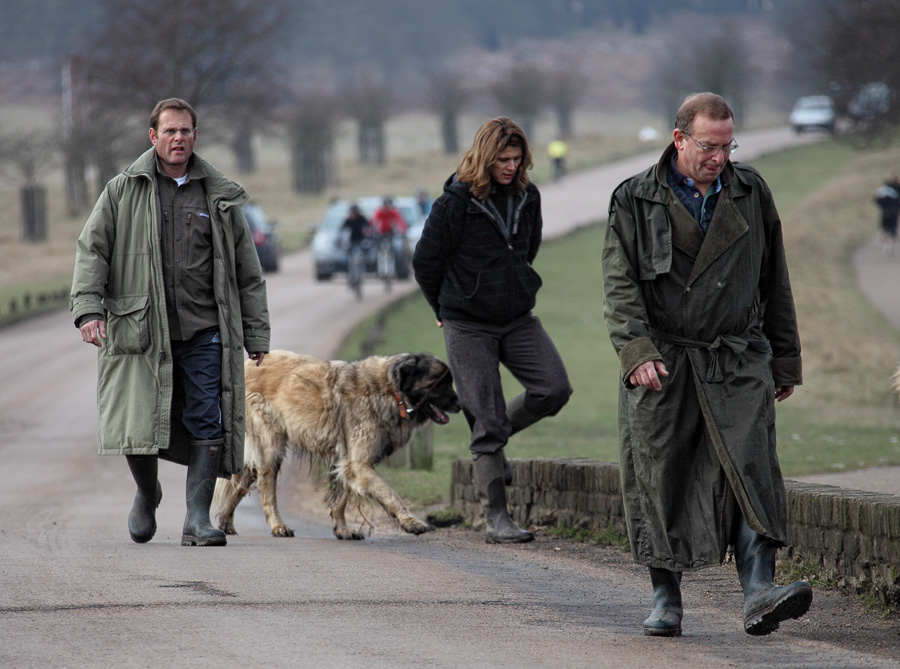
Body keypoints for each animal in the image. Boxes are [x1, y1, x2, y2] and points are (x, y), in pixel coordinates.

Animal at [214, 352, 460, 540]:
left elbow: (341, 499)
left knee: (241, 483)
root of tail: (246, 366)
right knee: (267, 489)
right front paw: (411, 522)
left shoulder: (346, 461)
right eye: (439, 383)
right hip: (270, 446)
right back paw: (278, 526)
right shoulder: (359, 465)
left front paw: (343, 530)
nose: (459, 405)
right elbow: (389, 493)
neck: (391, 390)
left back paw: (226, 522)